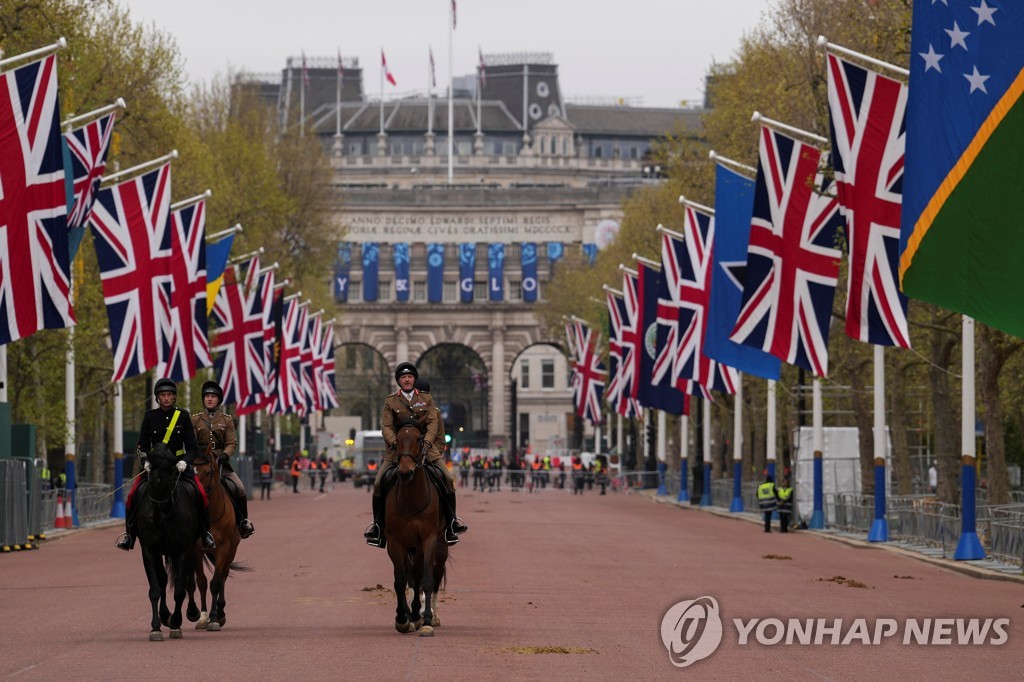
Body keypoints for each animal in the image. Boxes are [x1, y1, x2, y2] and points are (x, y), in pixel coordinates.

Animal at [134, 440, 199, 638]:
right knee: (163, 579)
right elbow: (155, 589)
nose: (158, 516)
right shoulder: (149, 551)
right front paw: (156, 627)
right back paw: (164, 615)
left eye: (171, 479)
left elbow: (179, 589)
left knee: (186, 580)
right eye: (151, 479)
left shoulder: (183, 550)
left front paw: (176, 622)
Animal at [184, 448, 239, 630]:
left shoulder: (223, 547)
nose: (196, 490)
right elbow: (201, 581)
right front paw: (202, 616)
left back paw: (220, 612)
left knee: (223, 575)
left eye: (208, 471)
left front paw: (214, 617)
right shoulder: (196, 549)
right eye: (190, 470)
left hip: (232, 549)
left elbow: (216, 582)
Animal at [385, 417, 448, 634]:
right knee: (411, 576)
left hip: (439, 547)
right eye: (396, 440)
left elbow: (426, 580)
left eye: (419, 439)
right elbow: (401, 580)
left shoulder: (427, 539)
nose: (405, 471)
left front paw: (425, 619)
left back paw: (431, 616)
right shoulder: (396, 542)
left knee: (433, 576)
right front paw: (403, 618)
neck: (411, 498)